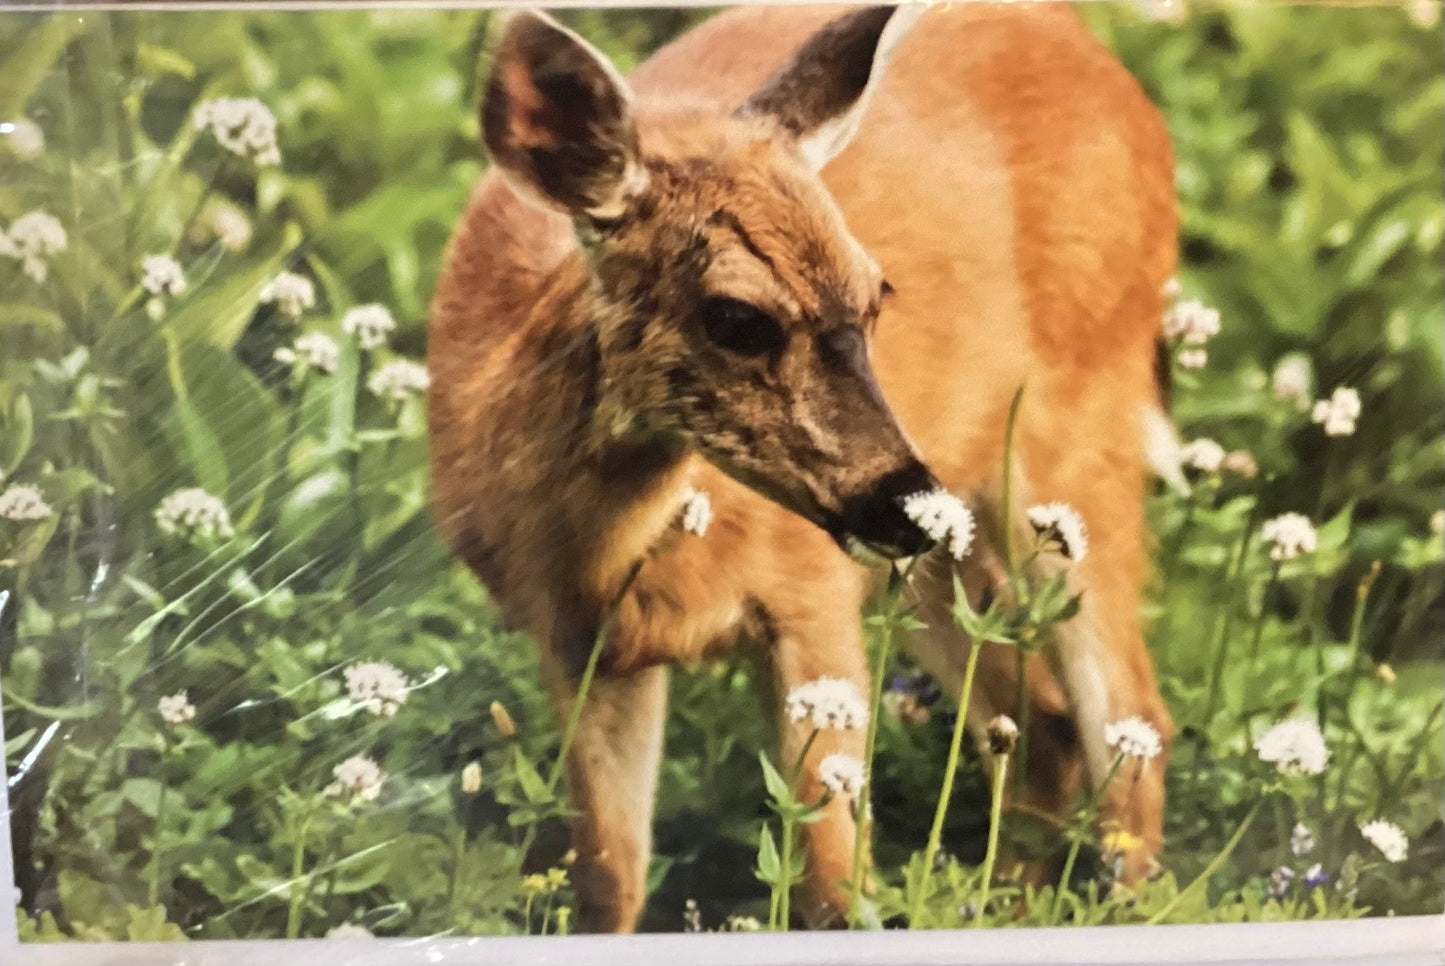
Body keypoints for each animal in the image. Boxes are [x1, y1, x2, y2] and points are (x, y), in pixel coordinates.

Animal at [428, 2, 1178, 933]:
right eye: (736, 317)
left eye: (875, 293)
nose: (903, 495)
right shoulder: (580, 642)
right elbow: (608, 877)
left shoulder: (807, 593)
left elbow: (829, 882)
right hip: (935, 557)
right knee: (1042, 723)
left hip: (1072, 433)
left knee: (1132, 722)